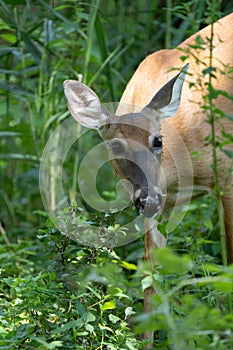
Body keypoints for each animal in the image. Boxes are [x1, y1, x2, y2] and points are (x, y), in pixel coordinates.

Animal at [63, 13, 233, 348]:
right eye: (115, 147)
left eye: (157, 140)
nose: (148, 198)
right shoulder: (158, 209)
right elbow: (150, 287)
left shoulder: (228, 174)